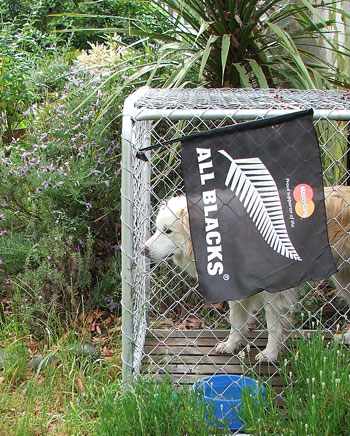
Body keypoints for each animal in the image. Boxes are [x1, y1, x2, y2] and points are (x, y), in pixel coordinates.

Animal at [142, 187, 350, 362]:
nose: (143, 250)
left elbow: (273, 325)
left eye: (168, 231)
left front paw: (270, 354)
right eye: (158, 229)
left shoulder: (275, 292)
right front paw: (231, 345)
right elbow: (237, 319)